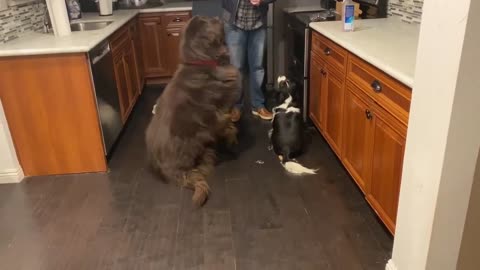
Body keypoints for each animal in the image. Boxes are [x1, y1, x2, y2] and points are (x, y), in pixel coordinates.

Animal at [143, 15, 239, 207]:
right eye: (209, 21)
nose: (218, 16)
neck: (203, 63)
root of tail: (166, 169)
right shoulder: (214, 112)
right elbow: (225, 122)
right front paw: (232, 136)